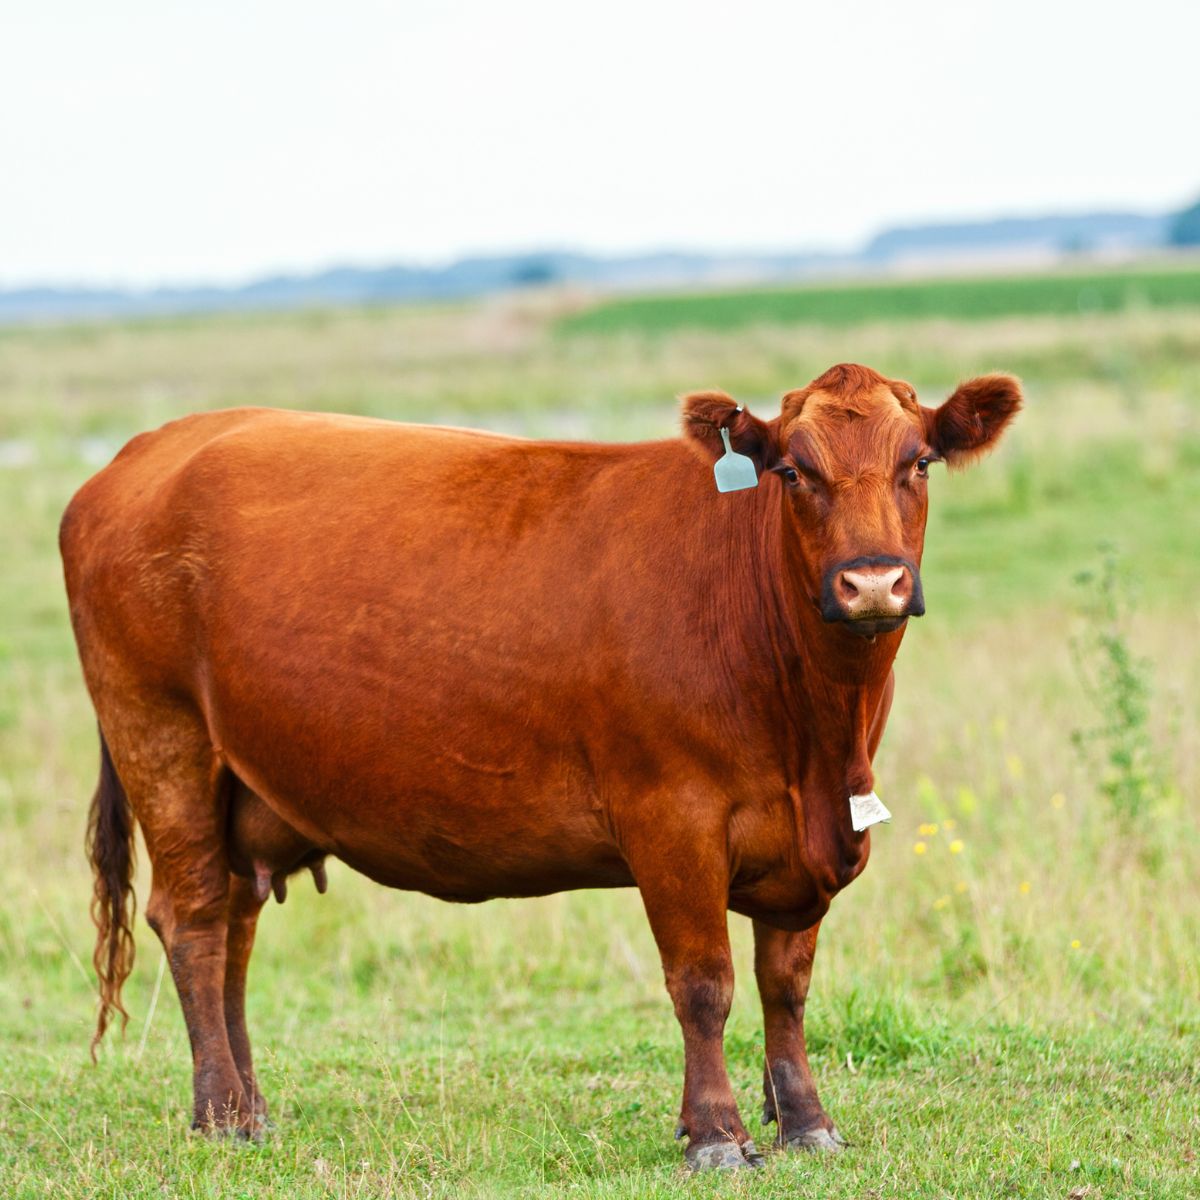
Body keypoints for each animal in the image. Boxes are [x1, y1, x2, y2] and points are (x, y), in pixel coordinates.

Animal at [63, 360, 1022, 1166]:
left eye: (920, 462)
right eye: (792, 472)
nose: (872, 583)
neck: (817, 736)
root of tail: (149, 450)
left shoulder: (805, 843)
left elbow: (785, 986)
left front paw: (808, 1123)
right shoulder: (670, 818)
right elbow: (704, 983)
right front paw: (716, 1134)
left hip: (243, 783)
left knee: (235, 927)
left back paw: (247, 1107)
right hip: (163, 740)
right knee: (193, 923)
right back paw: (223, 1114)